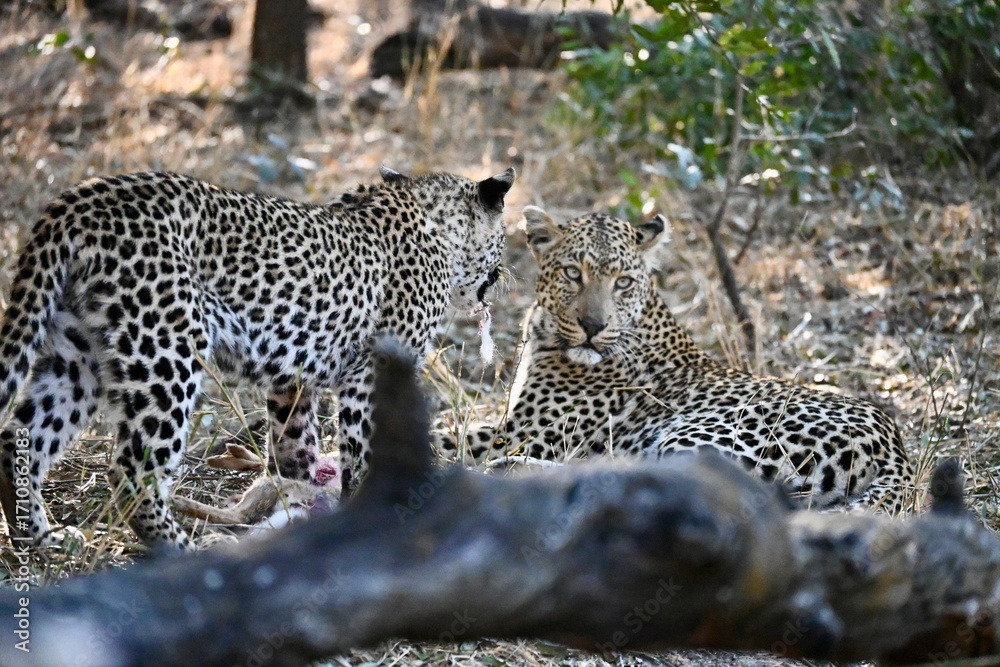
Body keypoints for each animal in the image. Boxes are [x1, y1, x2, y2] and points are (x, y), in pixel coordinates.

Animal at [0, 165, 515, 549]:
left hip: (76, 354)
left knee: (18, 438)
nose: (506, 271)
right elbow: (366, 451)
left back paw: (42, 538)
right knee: (132, 471)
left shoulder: (293, 382)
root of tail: (81, 198)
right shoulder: (372, 373)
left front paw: (305, 505)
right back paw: (184, 552)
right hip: (166, 351)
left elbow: (294, 450)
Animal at [435, 206, 916, 513]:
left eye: (623, 282)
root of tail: (897, 449)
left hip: (701, 437)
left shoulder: (527, 432)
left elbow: (448, 438)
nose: (592, 325)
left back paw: (511, 472)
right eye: (573, 273)